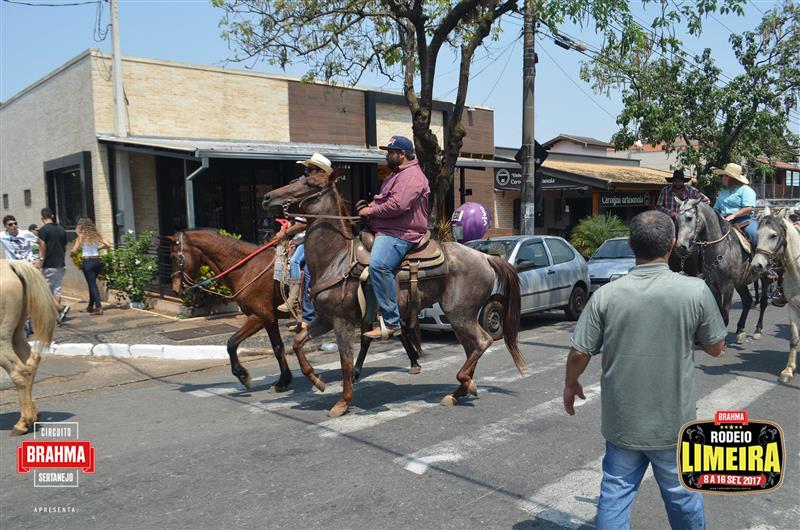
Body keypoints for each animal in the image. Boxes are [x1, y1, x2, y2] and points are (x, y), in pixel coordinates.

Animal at [1, 260, 57, 435]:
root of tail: (10, 264)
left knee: (19, 371)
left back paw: (23, 423)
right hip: (16, 332)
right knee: (30, 361)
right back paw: (31, 416)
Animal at [166, 230, 420, 392]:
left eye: (174, 256)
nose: (177, 289)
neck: (248, 268)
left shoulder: (259, 316)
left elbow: (231, 343)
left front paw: (244, 376)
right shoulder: (268, 319)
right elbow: (278, 348)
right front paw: (283, 380)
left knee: (389, 332)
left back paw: (409, 364)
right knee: (382, 334)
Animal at [262, 169, 525, 417]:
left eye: (310, 183)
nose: (267, 197)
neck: (336, 259)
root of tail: (485, 256)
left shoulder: (342, 322)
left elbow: (345, 363)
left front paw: (342, 402)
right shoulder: (325, 319)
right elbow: (297, 343)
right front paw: (317, 381)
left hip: (460, 313)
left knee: (483, 341)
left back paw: (463, 382)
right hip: (460, 318)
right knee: (472, 348)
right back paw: (461, 390)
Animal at [675, 198, 769, 343]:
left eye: (689, 218)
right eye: (677, 219)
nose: (681, 247)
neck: (721, 248)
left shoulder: (728, 285)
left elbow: (724, 312)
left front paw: (722, 342)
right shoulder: (713, 284)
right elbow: (718, 309)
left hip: (763, 277)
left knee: (764, 302)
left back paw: (758, 330)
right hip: (741, 282)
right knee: (747, 301)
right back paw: (740, 330)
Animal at [751, 212, 800, 382]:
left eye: (773, 235)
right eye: (757, 235)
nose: (756, 265)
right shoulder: (793, 307)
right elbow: (794, 339)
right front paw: (788, 370)